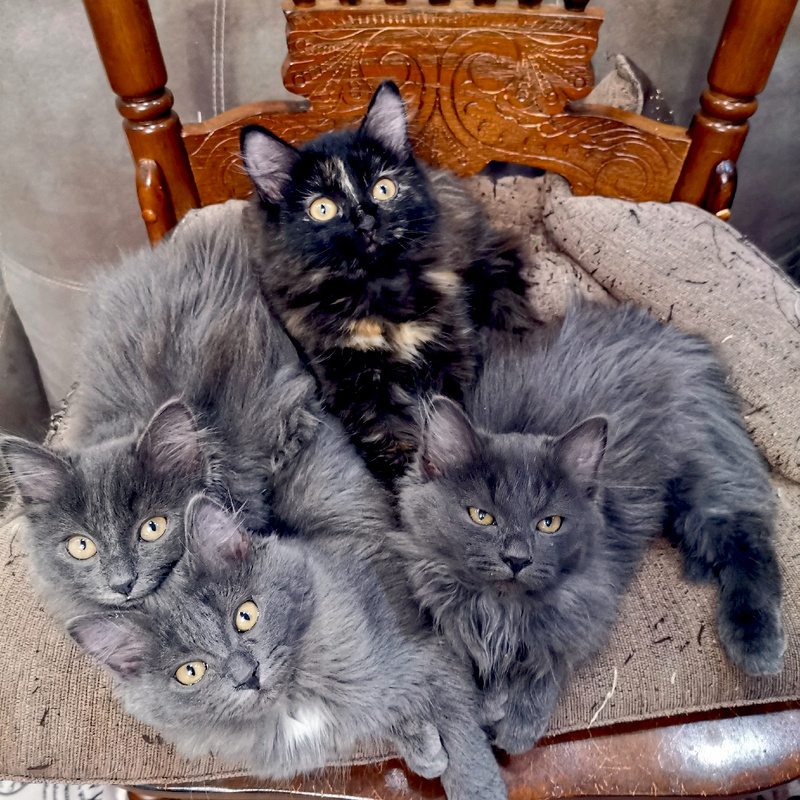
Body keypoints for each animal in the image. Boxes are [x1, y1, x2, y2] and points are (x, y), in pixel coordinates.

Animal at [69, 494, 507, 800]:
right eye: (190, 671)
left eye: (245, 616)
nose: (247, 675)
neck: (295, 700)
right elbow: (388, 717)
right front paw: (425, 750)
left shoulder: (427, 654)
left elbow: (459, 732)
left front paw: (476, 785)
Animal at [241, 80, 537, 484]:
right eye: (322, 209)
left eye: (383, 189)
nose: (366, 221)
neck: (379, 289)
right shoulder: (356, 381)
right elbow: (389, 436)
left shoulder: (446, 350)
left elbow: (440, 417)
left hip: (481, 256)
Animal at [397, 301, 786, 754]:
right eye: (482, 516)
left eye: (549, 524)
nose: (517, 558)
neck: (502, 609)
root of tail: (665, 331)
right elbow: (472, 661)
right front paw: (490, 702)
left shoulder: (586, 604)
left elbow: (549, 662)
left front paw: (519, 724)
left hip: (703, 478)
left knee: (748, 541)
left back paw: (757, 644)